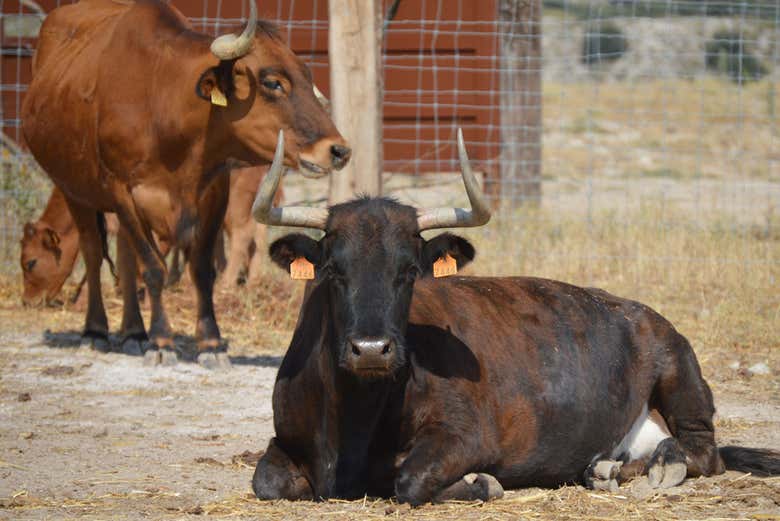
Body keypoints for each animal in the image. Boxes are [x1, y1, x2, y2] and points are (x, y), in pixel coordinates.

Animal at [20, 0, 348, 368]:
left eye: (307, 76)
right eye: (273, 82)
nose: (338, 150)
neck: (161, 103)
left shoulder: (214, 193)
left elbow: (201, 269)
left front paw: (210, 343)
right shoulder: (122, 192)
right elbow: (153, 267)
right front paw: (162, 341)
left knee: (125, 255)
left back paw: (134, 333)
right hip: (73, 189)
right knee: (92, 252)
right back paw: (96, 331)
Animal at [247, 130, 776, 504]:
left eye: (410, 271)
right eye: (333, 270)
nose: (372, 350)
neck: (354, 416)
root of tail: (642, 313)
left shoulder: (466, 434)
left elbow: (411, 479)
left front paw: (481, 483)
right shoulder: (285, 438)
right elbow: (265, 481)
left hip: (680, 375)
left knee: (703, 450)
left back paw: (661, 465)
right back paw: (603, 470)